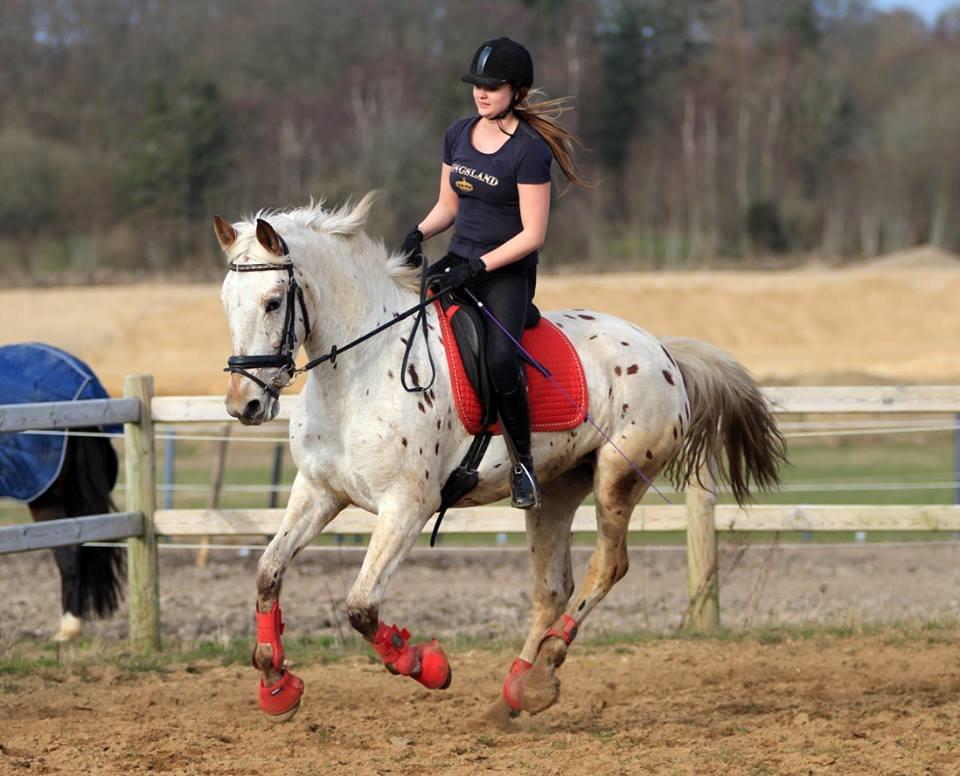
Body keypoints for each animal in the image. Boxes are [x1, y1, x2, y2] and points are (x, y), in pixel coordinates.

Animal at [214, 192, 784, 720]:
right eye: (226, 303)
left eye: (273, 301)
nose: (244, 405)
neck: (359, 372)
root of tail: (662, 352)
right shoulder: (319, 491)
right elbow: (268, 571)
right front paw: (276, 686)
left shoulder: (406, 508)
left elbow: (361, 607)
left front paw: (427, 665)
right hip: (555, 491)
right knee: (553, 588)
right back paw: (515, 694)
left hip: (616, 479)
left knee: (608, 566)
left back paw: (544, 672)